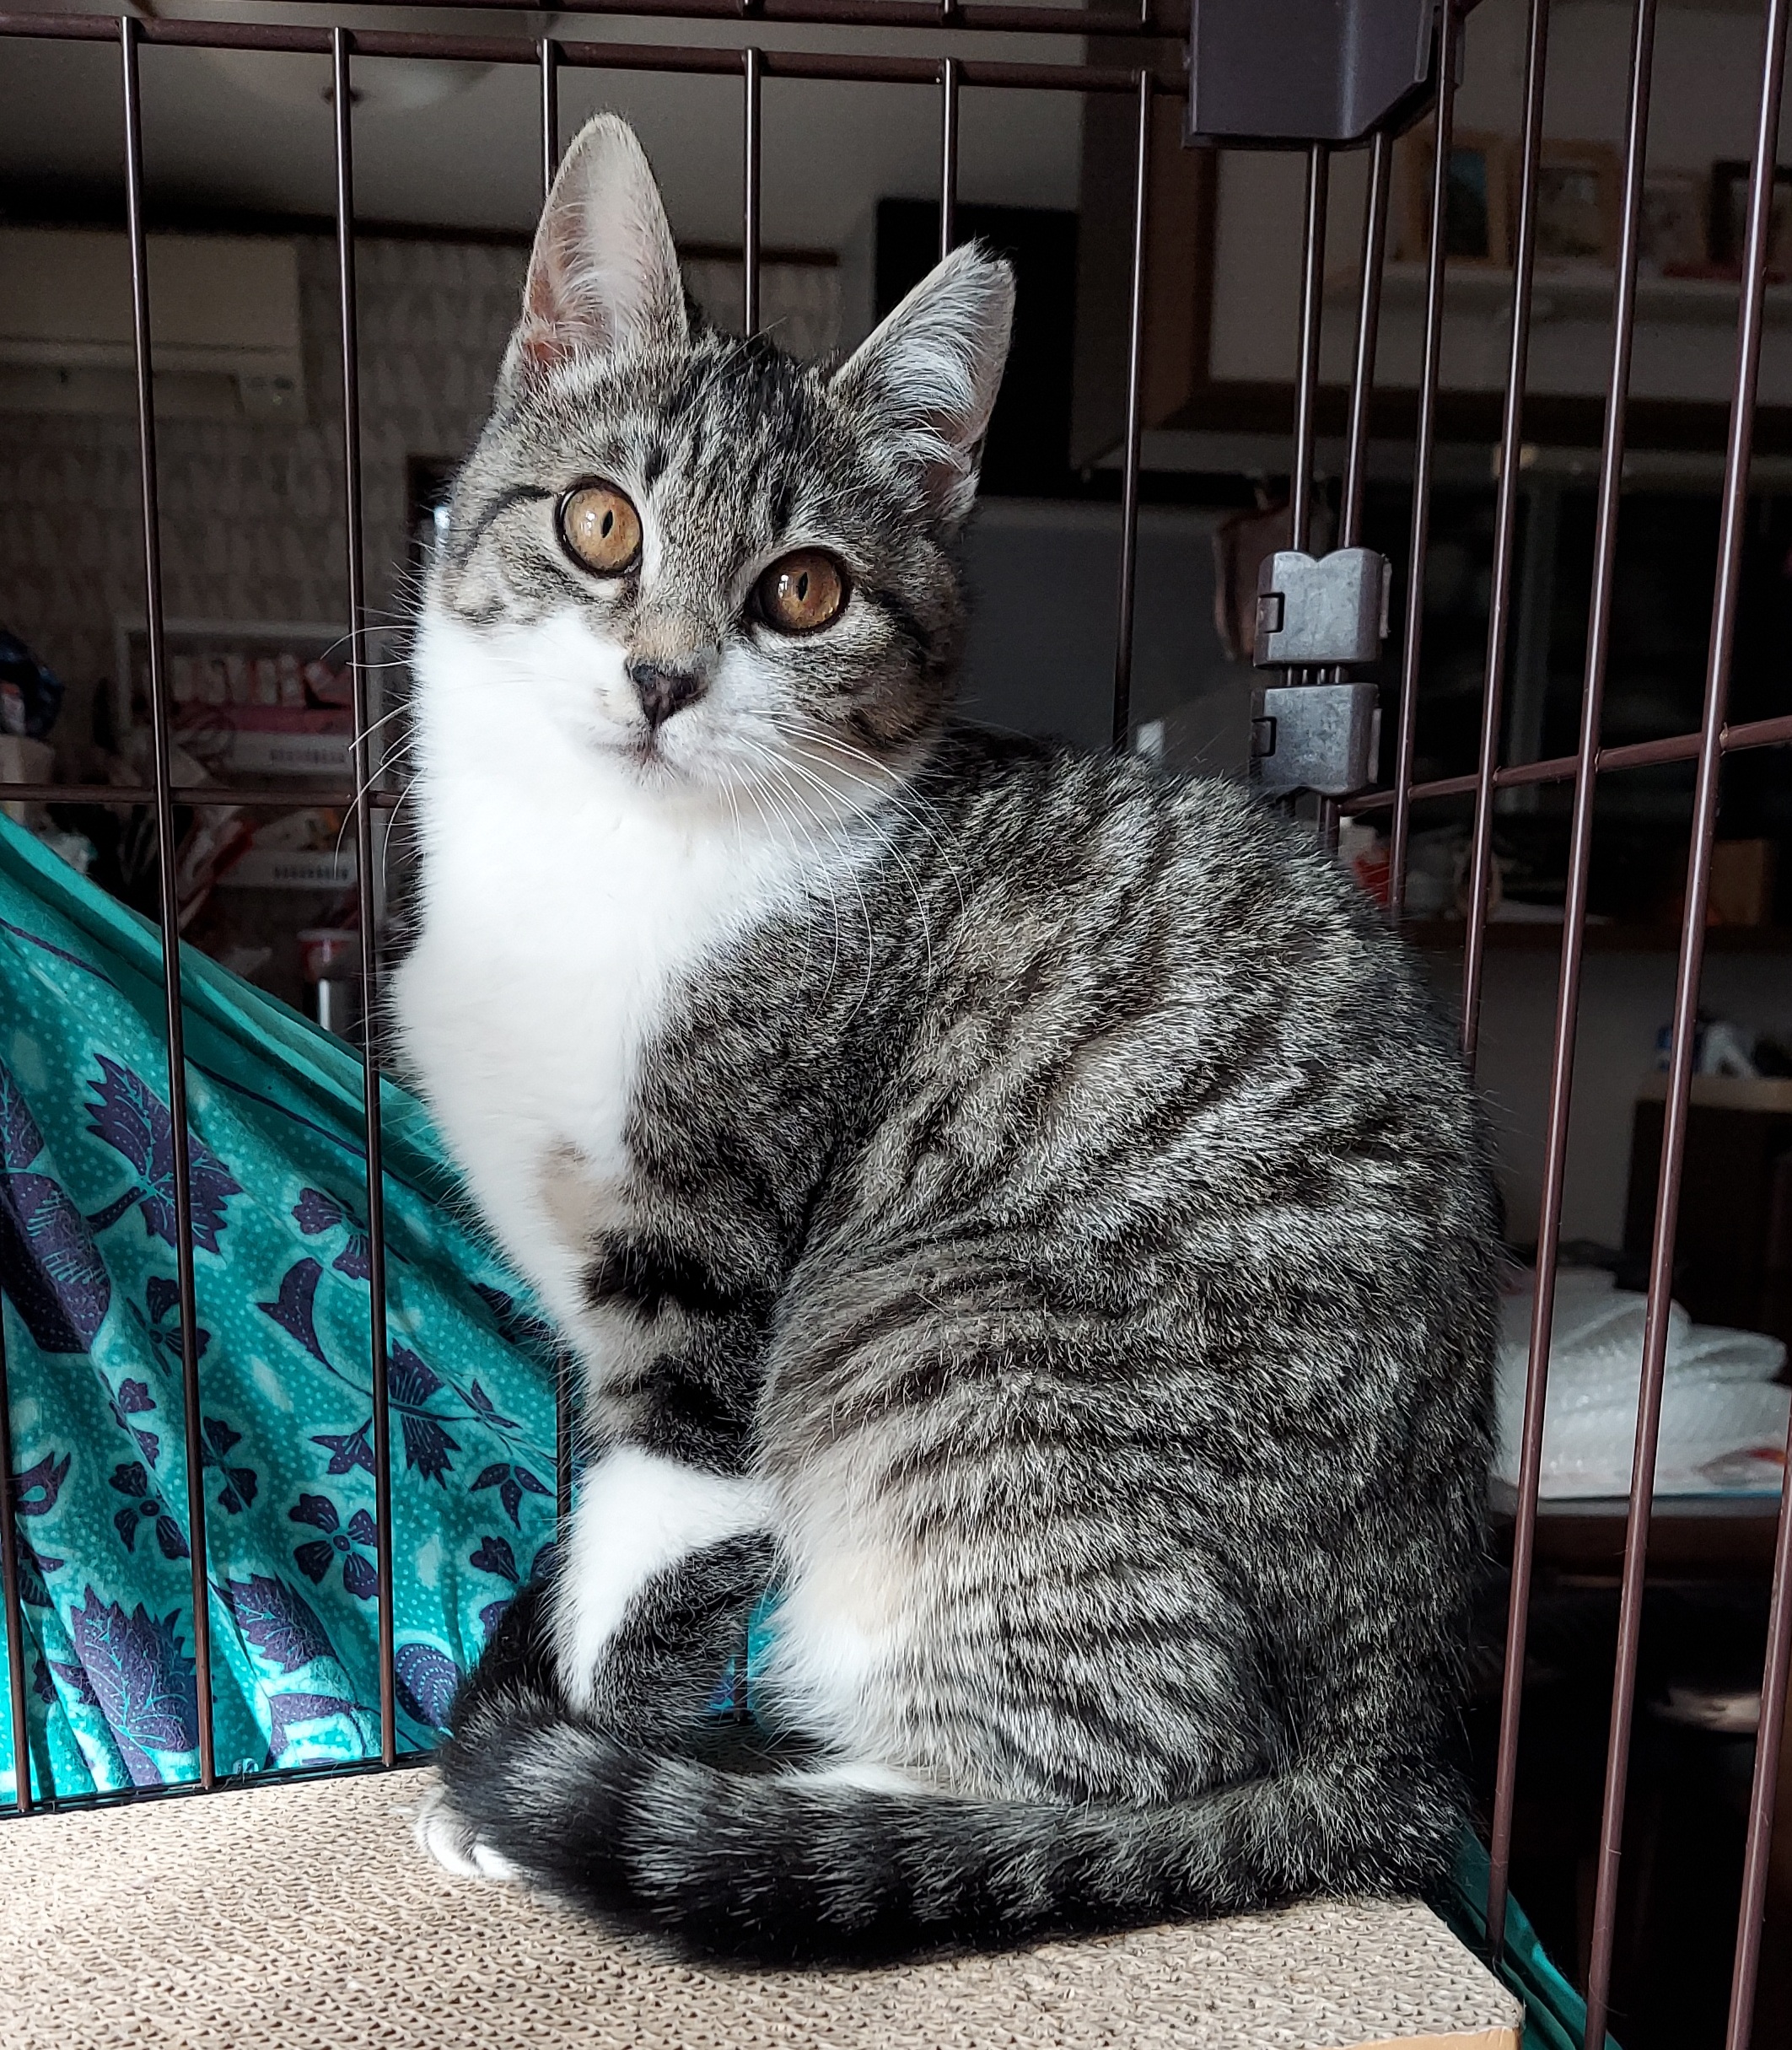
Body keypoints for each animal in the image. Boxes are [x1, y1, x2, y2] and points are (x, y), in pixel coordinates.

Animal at [394, 111, 1500, 1966]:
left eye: (804, 590)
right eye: (603, 524)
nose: (663, 681)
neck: (601, 865)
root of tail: (1396, 1749)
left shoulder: (714, 1273)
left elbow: (663, 1529)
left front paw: (565, 1765)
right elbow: (590, 1506)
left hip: (942, 1341)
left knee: (1116, 1759)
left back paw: (790, 1799)